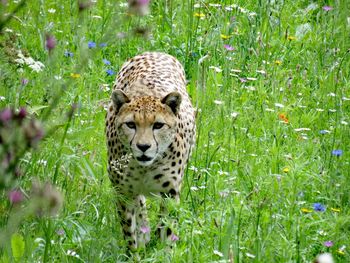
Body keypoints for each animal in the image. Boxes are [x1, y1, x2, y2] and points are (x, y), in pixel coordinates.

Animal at [105, 52, 196, 252]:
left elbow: (167, 228)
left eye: (158, 125)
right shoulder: (123, 192)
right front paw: (135, 250)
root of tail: (156, 51)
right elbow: (129, 232)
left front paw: (165, 252)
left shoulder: (170, 193)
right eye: (131, 125)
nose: (143, 146)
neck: (144, 168)